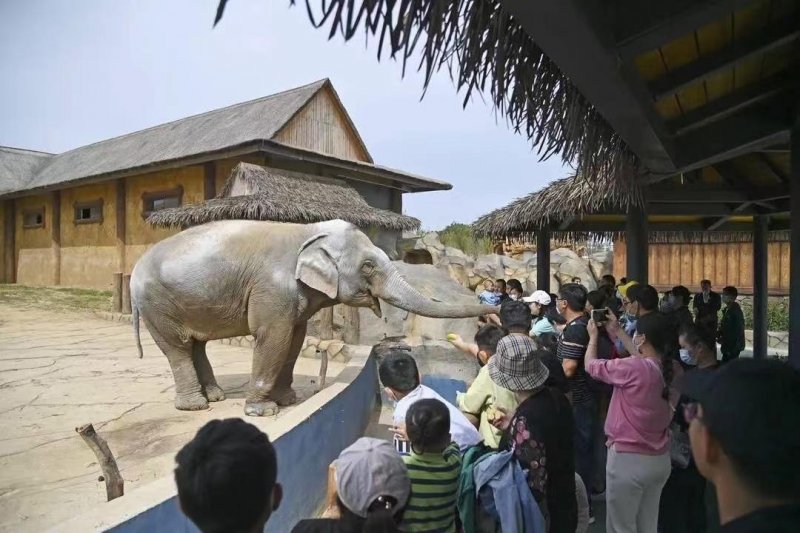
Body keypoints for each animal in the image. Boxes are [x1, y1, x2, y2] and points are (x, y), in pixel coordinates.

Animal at [130, 219, 494, 416]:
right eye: (368, 266)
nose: (495, 309)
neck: (307, 231)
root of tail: (133, 271)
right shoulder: (271, 287)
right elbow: (272, 337)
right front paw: (263, 411)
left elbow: (294, 338)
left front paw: (288, 400)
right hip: (157, 305)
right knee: (177, 348)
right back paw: (196, 407)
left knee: (197, 344)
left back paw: (214, 397)